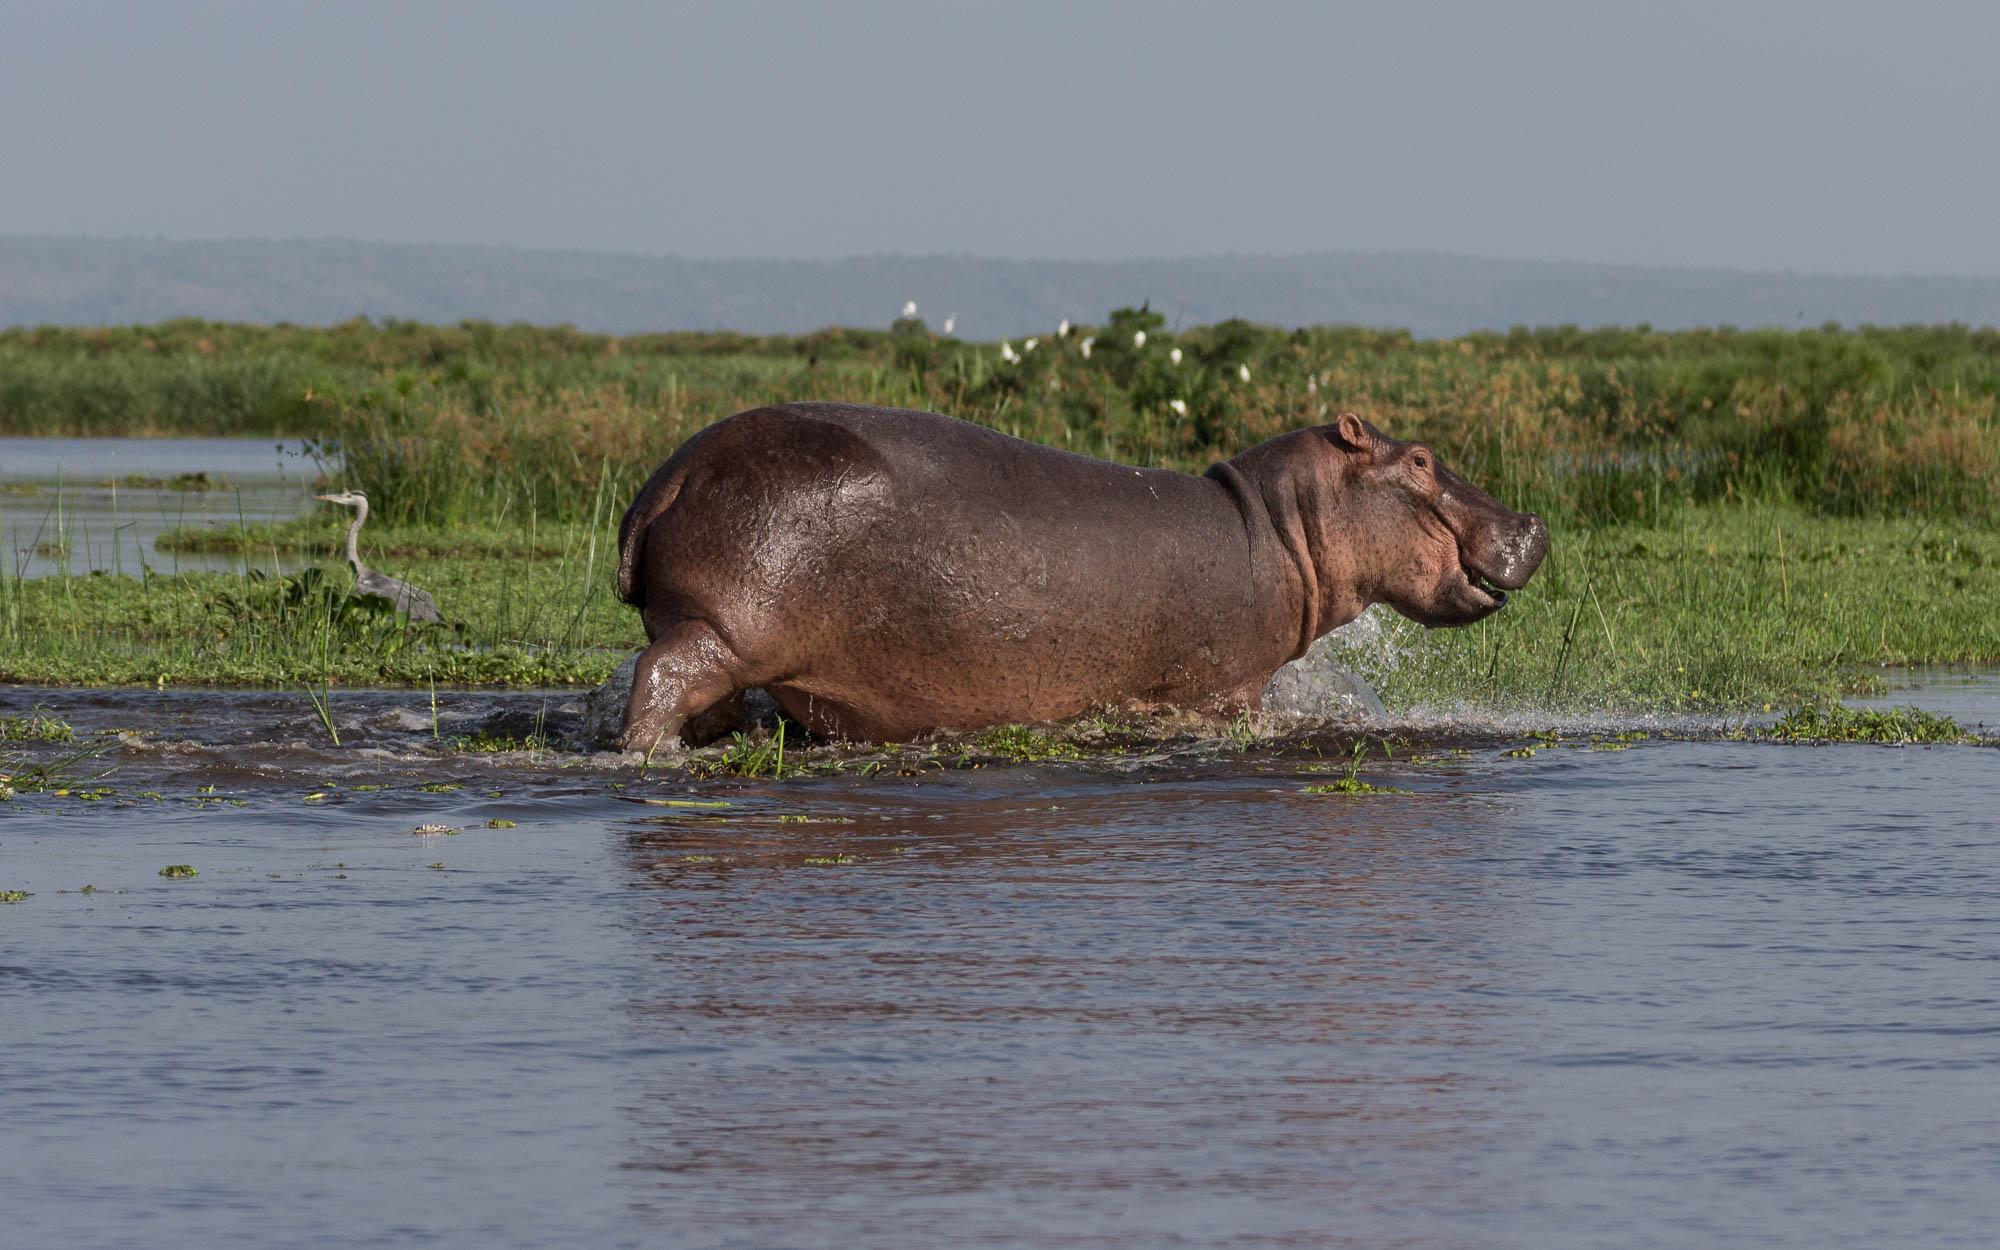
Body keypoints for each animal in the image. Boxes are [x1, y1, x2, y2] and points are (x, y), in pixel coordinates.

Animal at [612, 402, 1547, 752]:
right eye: (1420, 458)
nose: (1534, 523)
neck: (1279, 525)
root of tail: (671, 475)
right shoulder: (1222, 691)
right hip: (726, 627)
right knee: (661, 676)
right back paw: (654, 755)